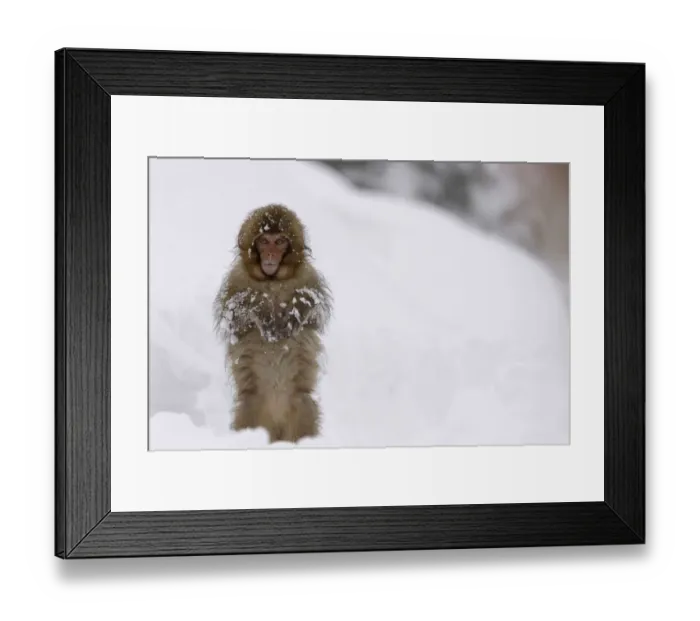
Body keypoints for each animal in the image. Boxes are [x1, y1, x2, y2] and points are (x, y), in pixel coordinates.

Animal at [212, 204, 333, 444]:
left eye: (279, 241)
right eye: (264, 240)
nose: (270, 254)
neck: (273, 281)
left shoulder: (309, 277)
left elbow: (313, 314)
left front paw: (295, 311)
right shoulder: (235, 281)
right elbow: (234, 320)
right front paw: (258, 310)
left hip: (300, 409)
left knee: (305, 405)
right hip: (250, 410)